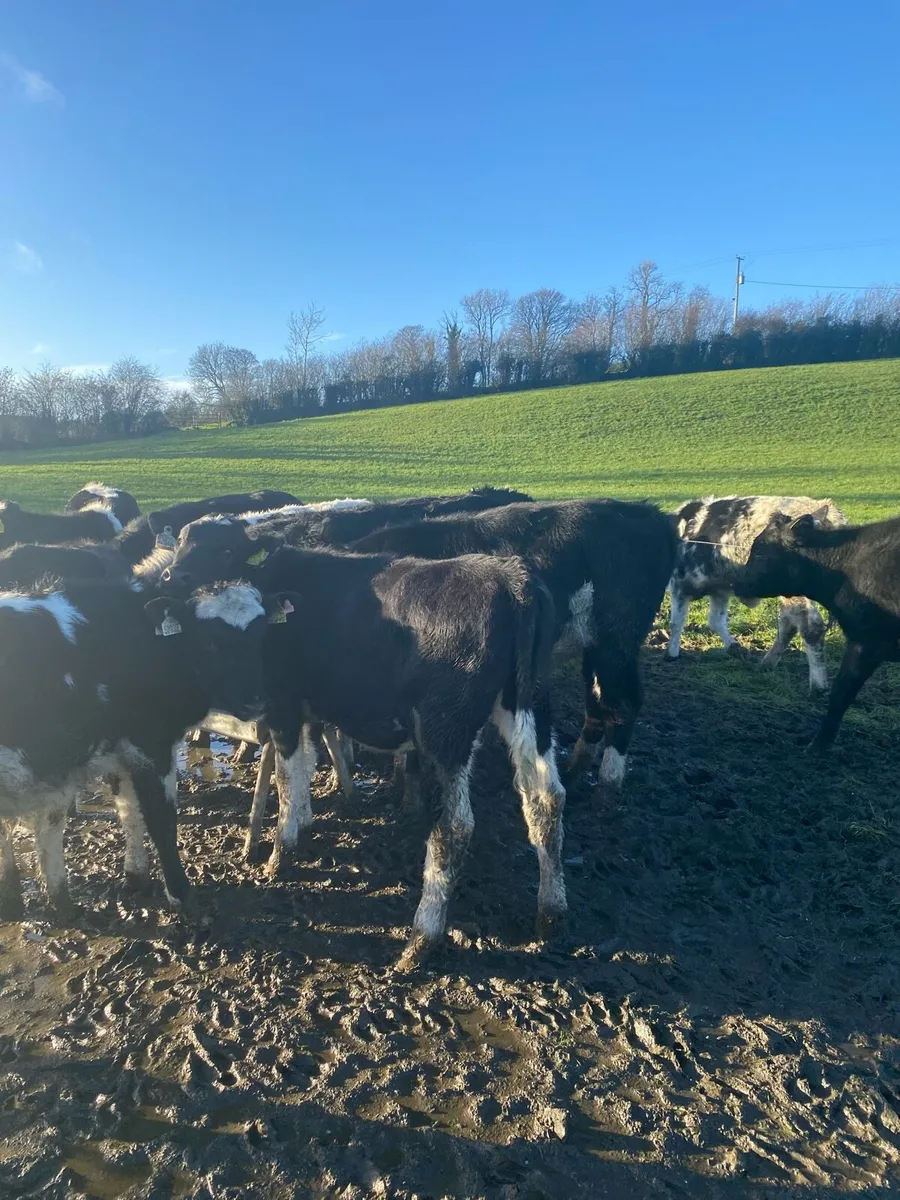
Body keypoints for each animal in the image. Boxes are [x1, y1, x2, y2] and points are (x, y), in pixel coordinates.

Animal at [0, 580, 275, 921]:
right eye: (211, 642)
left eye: (261, 635)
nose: (257, 700)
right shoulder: (151, 745)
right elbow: (161, 820)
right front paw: (181, 895)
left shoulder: (122, 750)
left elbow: (128, 810)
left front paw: (136, 876)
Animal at [668, 496, 847, 692]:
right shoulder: (720, 591)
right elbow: (716, 620)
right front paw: (734, 647)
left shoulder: (679, 585)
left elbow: (676, 622)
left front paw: (671, 653)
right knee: (788, 624)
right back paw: (767, 664)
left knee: (810, 626)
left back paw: (818, 685)